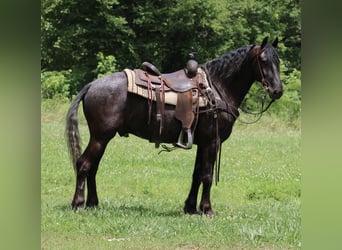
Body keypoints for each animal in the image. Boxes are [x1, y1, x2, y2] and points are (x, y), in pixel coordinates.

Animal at [66, 36, 284, 216]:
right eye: (263, 60)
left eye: (278, 61)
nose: (277, 90)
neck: (217, 88)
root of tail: (91, 85)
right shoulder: (212, 142)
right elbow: (207, 175)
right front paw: (207, 209)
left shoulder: (202, 143)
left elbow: (197, 174)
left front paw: (190, 208)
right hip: (100, 137)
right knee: (84, 164)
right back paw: (78, 203)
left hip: (101, 138)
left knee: (93, 166)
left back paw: (93, 203)